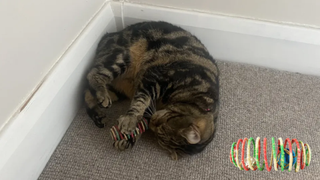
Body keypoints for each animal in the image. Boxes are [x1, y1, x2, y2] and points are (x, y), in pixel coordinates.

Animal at [84, 20, 220, 160]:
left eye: (159, 135)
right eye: (164, 121)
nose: (152, 123)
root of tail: (113, 33)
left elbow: (142, 116)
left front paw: (129, 139)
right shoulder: (154, 78)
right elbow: (141, 101)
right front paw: (130, 120)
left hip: (118, 90)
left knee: (88, 91)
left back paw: (97, 112)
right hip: (122, 57)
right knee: (92, 74)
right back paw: (102, 97)